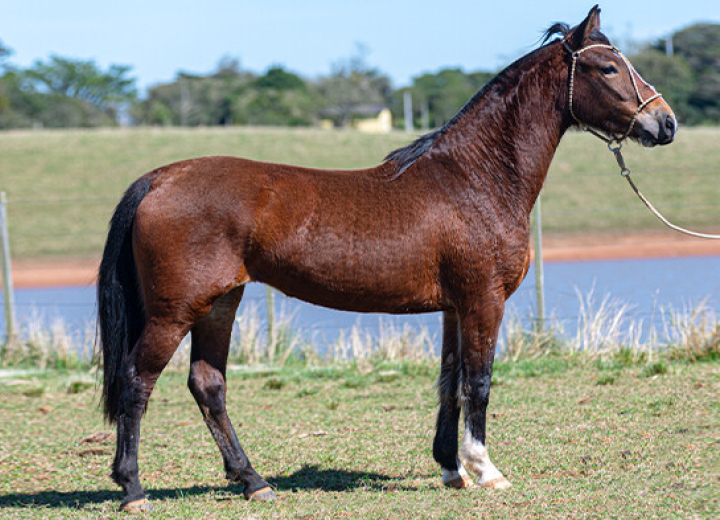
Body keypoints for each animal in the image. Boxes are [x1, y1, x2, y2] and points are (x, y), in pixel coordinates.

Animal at [97, 6, 676, 512]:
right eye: (608, 67)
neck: (474, 177)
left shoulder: (454, 308)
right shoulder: (483, 300)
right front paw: (486, 471)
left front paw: (452, 469)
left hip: (220, 303)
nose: (666, 123)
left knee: (208, 385)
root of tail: (161, 178)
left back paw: (254, 482)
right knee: (135, 381)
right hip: (175, 311)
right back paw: (133, 490)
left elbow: (449, 382)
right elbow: (479, 382)